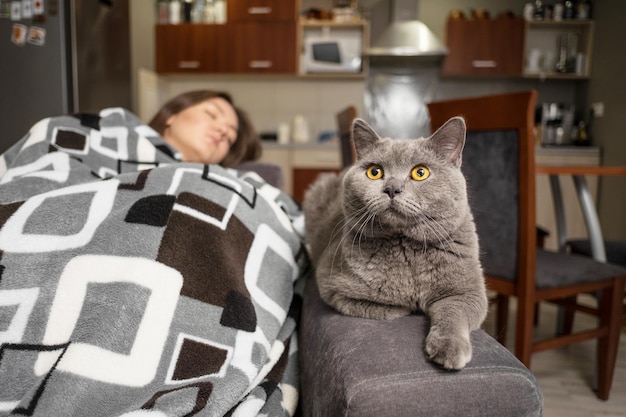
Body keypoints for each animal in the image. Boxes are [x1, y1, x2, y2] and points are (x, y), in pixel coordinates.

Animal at [302, 116, 488, 368]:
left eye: (420, 172)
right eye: (374, 172)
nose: (392, 188)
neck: (407, 249)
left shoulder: (469, 291)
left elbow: (454, 311)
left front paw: (449, 348)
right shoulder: (333, 286)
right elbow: (385, 306)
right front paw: (408, 305)